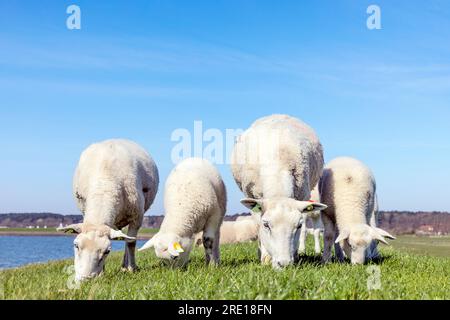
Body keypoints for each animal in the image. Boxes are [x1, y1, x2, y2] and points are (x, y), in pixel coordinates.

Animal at [58, 139, 159, 280]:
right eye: (76, 245)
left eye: (107, 251)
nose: (85, 279)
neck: (105, 184)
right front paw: (103, 273)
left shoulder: (137, 216)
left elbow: (131, 243)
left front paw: (132, 269)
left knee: (127, 240)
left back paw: (125, 266)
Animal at [232, 114, 326, 268]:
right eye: (266, 225)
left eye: (298, 225)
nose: (284, 264)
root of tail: (278, 115)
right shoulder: (252, 196)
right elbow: (258, 226)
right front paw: (265, 257)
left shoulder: (303, 195)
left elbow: (303, 231)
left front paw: (295, 255)